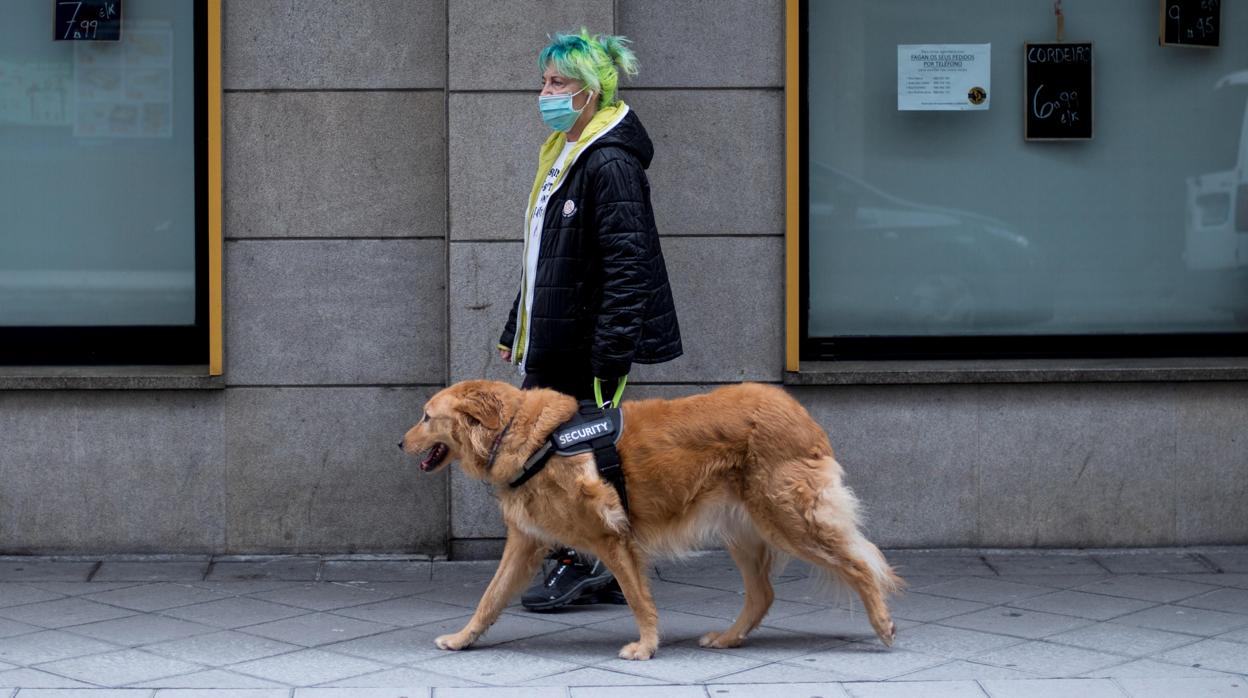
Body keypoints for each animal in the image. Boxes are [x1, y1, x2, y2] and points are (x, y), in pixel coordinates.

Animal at [399, 382, 898, 659]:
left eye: (425, 417)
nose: (399, 443)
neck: (529, 437)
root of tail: (798, 412)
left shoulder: (612, 538)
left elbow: (639, 599)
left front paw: (646, 646)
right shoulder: (524, 543)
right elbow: (489, 599)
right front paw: (463, 639)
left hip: (789, 520)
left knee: (861, 565)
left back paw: (882, 624)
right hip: (744, 531)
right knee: (763, 594)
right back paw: (728, 638)